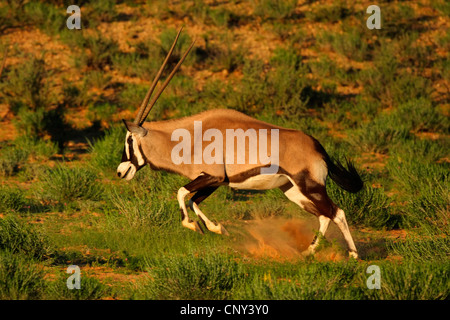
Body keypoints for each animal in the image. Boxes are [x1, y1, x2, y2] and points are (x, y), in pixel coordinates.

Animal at [116, 27, 362, 258]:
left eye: (129, 139)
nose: (120, 171)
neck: (190, 138)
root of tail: (318, 147)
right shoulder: (215, 181)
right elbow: (194, 201)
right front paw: (216, 228)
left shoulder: (212, 176)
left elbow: (181, 192)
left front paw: (193, 225)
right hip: (293, 191)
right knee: (324, 215)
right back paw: (308, 252)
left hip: (310, 187)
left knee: (336, 212)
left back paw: (352, 255)